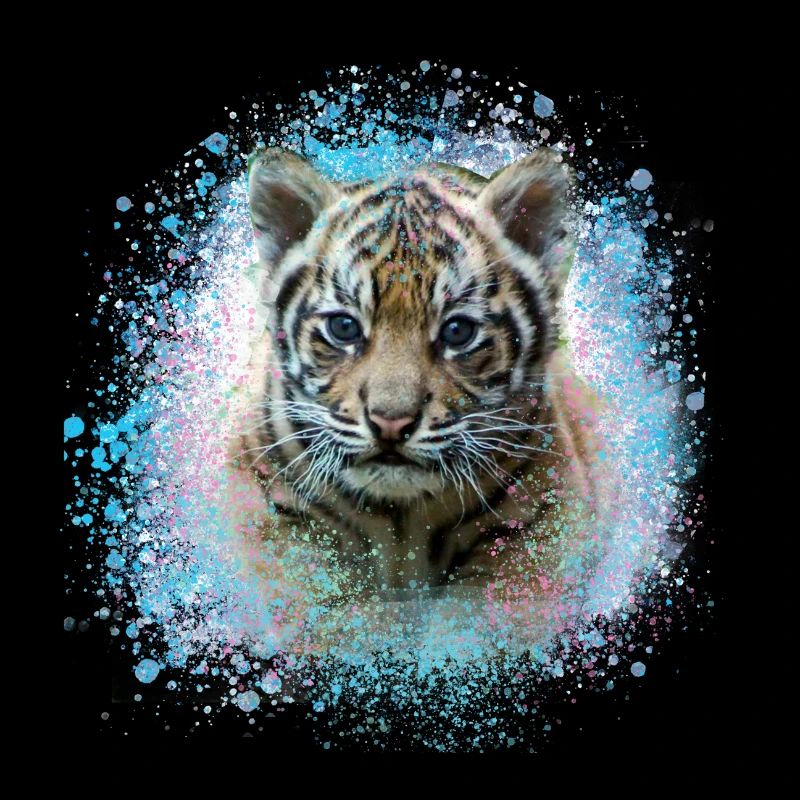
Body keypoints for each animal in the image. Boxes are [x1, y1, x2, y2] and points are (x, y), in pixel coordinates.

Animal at [226, 146, 604, 654]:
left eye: (458, 332)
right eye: (343, 327)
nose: (390, 423)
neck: (402, 520)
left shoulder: (543, 517)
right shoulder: (271, 497)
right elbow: (325, 610)